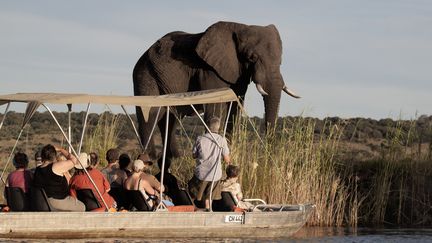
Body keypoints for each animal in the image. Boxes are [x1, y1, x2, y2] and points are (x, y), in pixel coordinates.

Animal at [133, 21, 298, 159]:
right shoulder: (209, 70)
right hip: (144, 73)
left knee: (170, 117)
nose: (268, 157)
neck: (241, 27)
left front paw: (230, 149)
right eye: (252, 57)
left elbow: (235, 107)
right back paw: (150, 158)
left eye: (281, 60)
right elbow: (214, 107)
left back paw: (175, 158)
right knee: (150, 113)